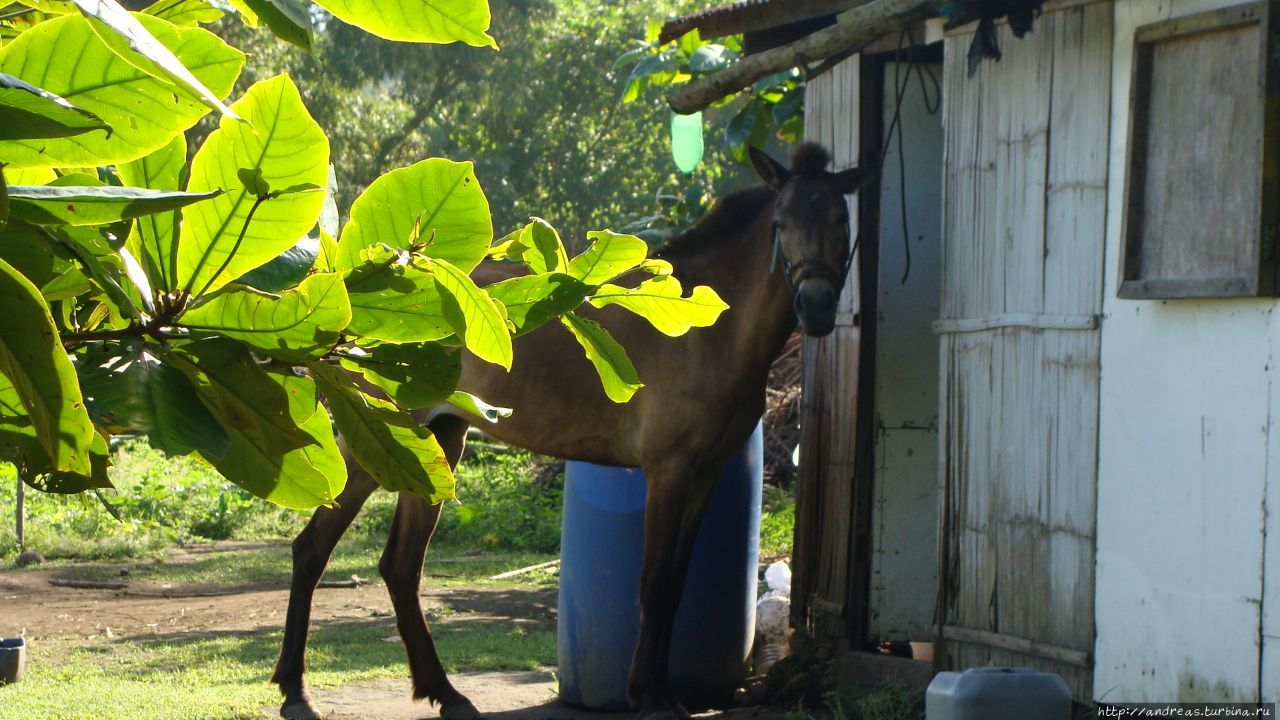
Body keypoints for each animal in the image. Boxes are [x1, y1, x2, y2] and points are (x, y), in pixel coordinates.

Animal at [270, 141, 870, 717]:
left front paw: (658, 689)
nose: (817, 306)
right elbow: (655, 583)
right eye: (781, 223)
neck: (708, 332)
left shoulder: (706, 474)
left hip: (437, 446)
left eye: (841, 218)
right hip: (373, 446)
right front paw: (650, 697)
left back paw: (446, 694)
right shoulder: (668, 470)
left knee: (398, 567)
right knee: (313, 549)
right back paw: (297, 692)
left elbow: (676, 584)